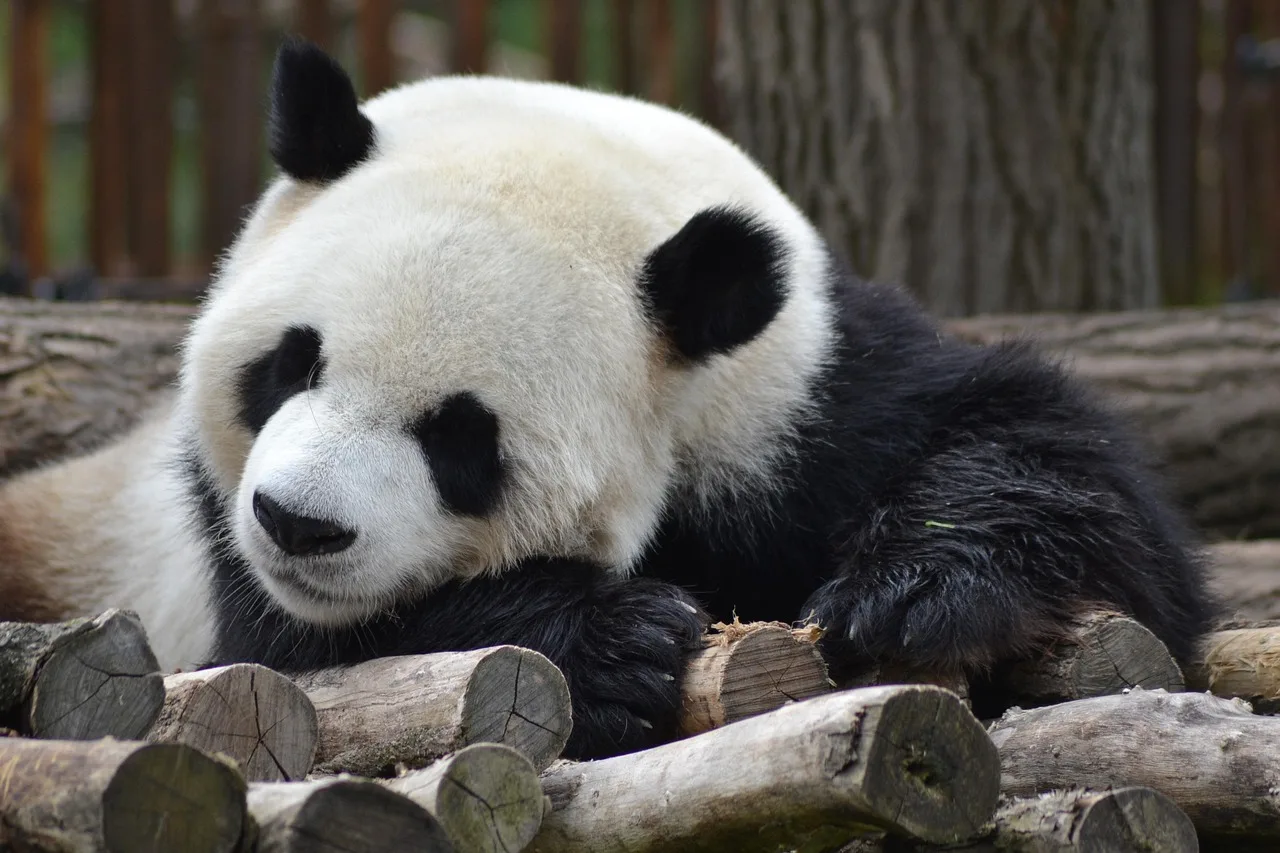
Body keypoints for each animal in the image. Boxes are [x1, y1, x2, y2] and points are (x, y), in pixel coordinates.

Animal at [0, 38, 1214, 758]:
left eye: (461, 437)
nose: (298, 524)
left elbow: (1079, 489)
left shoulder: (806, 396)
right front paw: (619, 639)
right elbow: (304, 657)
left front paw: (915, 589)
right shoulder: (215, 560)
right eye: (291, 364)